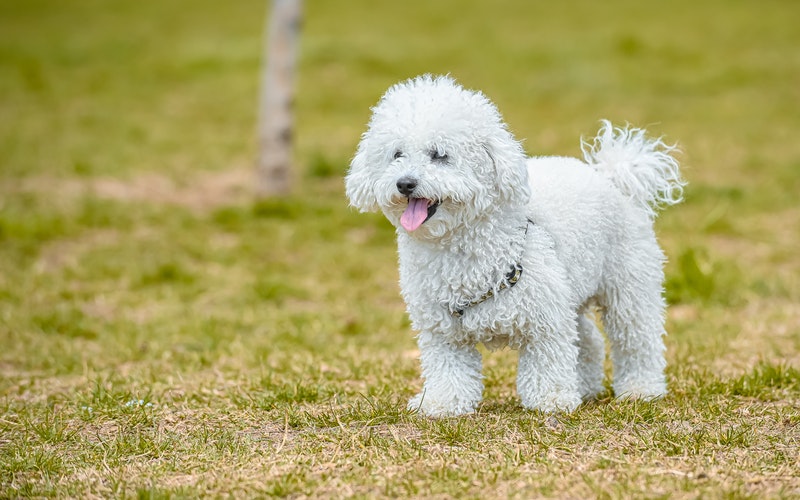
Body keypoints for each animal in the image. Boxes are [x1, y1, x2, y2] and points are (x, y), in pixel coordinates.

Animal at [346, 75, 684, 418]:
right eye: (397, 154)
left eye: (439, 154)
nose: (405, 183)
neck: (460, 247)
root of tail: (611, 177)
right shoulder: (442, 331)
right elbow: (448, 369)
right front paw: (442, 403)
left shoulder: (545, 320)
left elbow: (548, 360)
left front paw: (551, 399)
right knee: (588, 339)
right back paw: (585, 387)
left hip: (628, 285)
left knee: (636, 338)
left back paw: (642, 389)